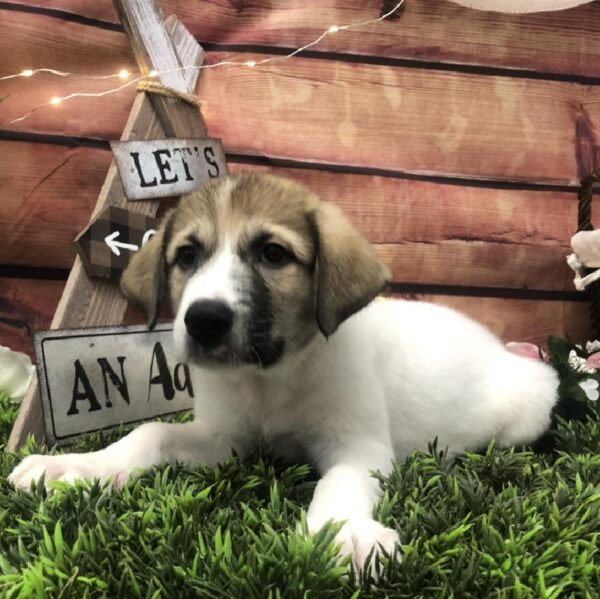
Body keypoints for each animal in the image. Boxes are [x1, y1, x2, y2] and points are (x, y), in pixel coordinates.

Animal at [9, 172, 560, 572]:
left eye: (273, 253)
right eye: (187, 255)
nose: (203, 320)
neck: (269, 377)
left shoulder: (359, 445)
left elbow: (338, 481)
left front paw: (343, 532)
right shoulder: (226, 438)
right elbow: (150, 432)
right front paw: (78, 467)